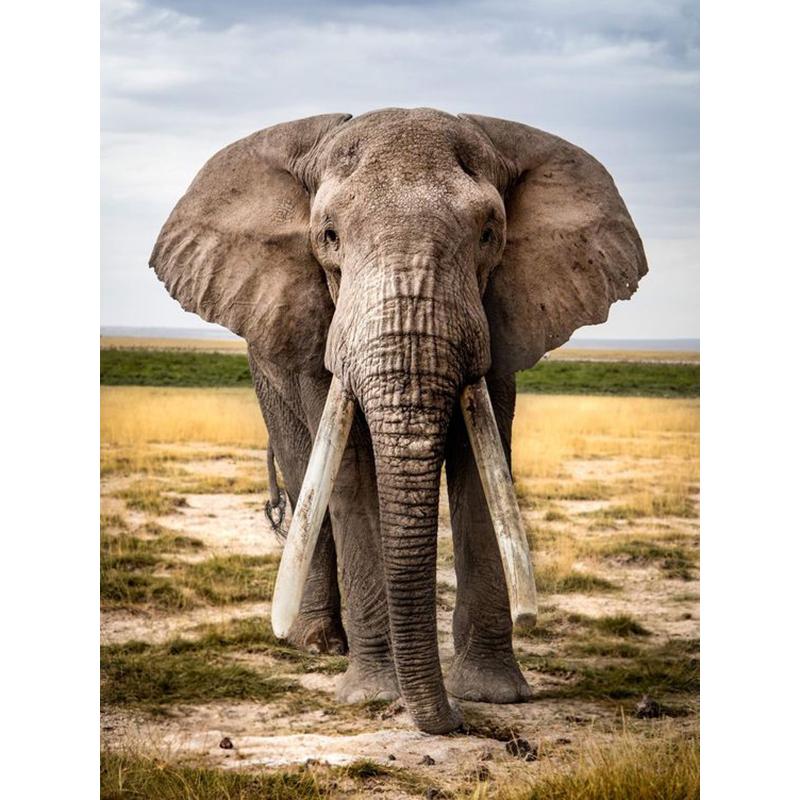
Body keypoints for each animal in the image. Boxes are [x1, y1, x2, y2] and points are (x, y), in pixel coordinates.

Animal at [150, 108, 647, 734]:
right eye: (329, 236)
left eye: (489, 234)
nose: (456, 721)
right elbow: (352, 477)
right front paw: (373, 696)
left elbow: (483, 469)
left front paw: (494, 694)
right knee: (305, 471)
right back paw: (316, 645)